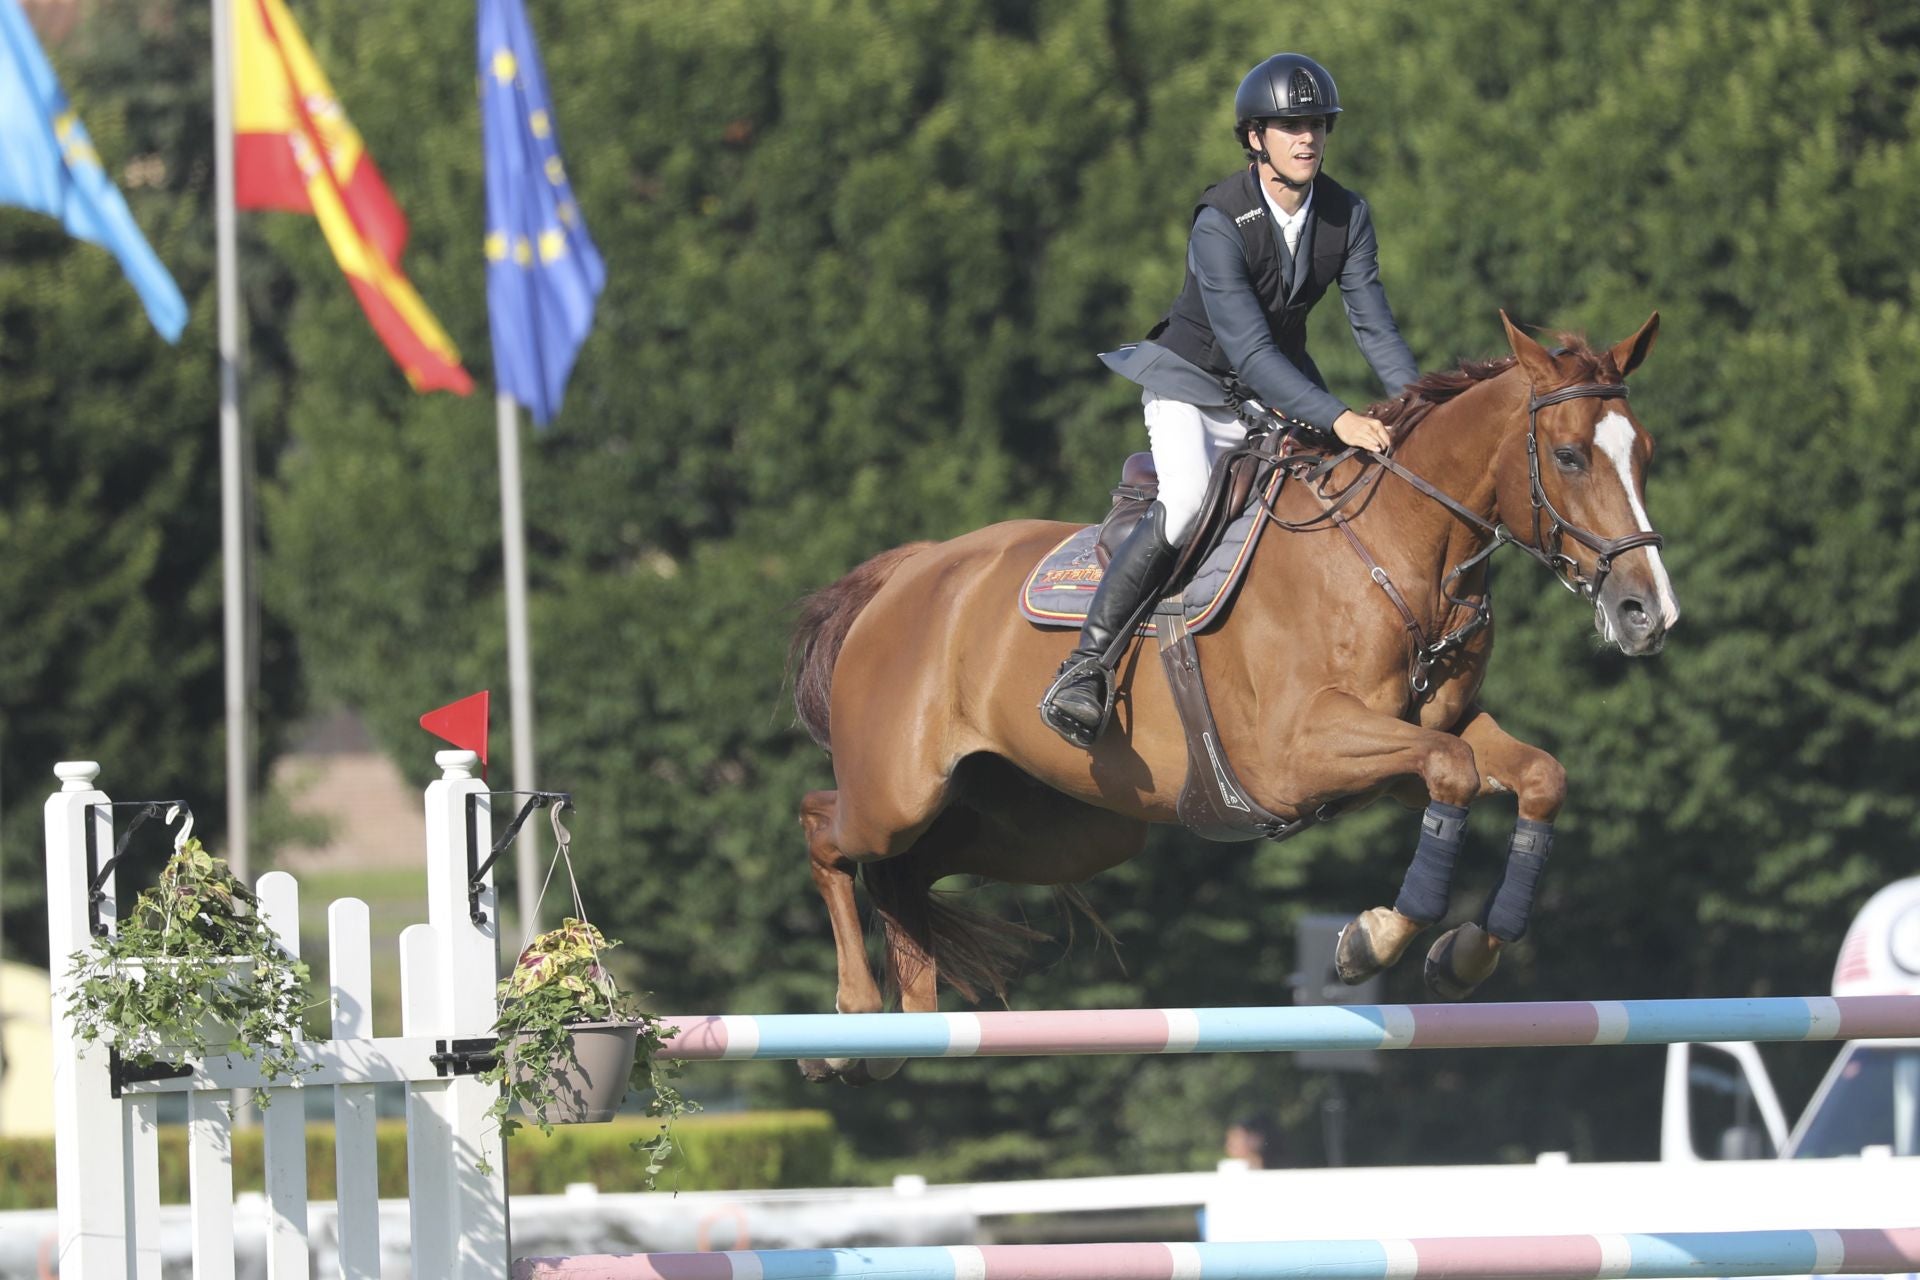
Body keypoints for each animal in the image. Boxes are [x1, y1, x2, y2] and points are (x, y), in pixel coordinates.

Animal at [787, 310, 1674, 1082]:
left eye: (1647, 454)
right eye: (1569, 457)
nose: (1649, 613)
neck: (1394, 551)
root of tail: (909, 571)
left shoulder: (1413, 743)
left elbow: (1533, 775)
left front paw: (1464, 954)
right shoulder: (1296, 756)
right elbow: (1451, 768)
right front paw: (1373, 938)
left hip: (1067, 829)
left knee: (908, 872)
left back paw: (903, 1027)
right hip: (897, 791)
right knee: (825, 828)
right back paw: (850, 1024)